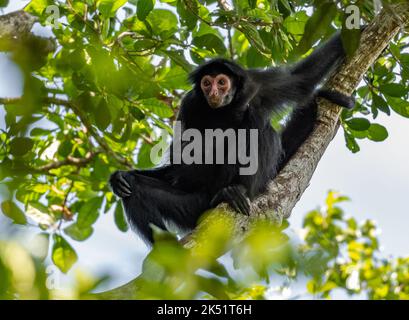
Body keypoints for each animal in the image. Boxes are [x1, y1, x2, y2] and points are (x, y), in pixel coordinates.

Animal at [109, 31, 354, 242]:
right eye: (207, 83)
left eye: (221, 82)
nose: (213, 92)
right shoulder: (190, 103)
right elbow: (183, 161)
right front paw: (118, 177)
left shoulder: (257, 84)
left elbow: (301, 79)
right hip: (194, 204)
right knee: (135, 187)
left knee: (257, 121)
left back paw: (239, 191)